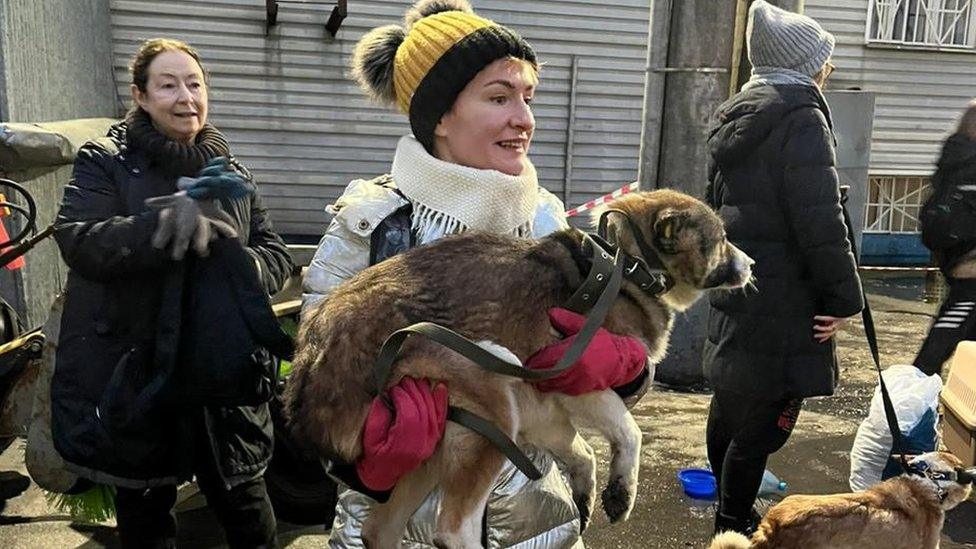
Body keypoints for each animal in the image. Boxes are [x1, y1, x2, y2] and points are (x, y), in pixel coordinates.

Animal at [286, 188, 752, 544]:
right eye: (722, 239)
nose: (752, 265)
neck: (629, 266)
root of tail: (314, 357)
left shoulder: (546, 406)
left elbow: (583, 452)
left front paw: (587, 497)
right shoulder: (575, 382)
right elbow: (629, 433)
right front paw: (622, 492)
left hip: (433, 444)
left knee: (379, 529)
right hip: (492, 405)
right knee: (451, 530)